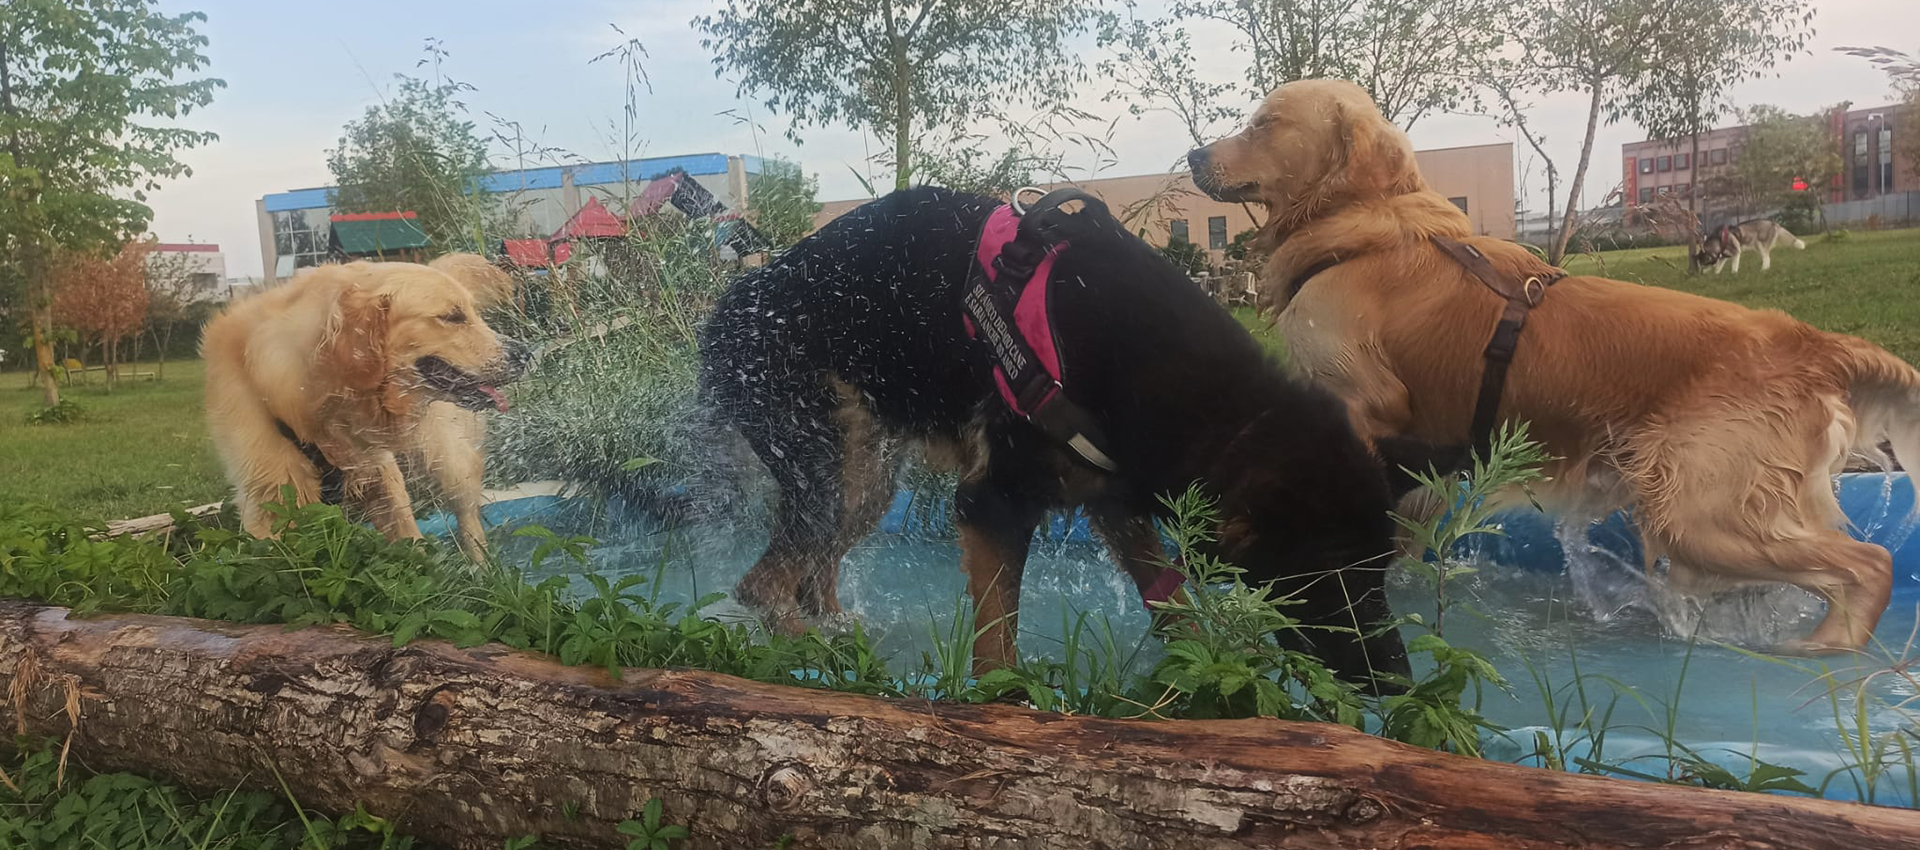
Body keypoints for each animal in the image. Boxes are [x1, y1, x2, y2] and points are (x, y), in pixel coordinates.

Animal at [698, 186, 1420, 690]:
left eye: (1380, 572)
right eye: (1330, 577)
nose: (1397, 681)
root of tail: (727, 306)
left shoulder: (1114, 502)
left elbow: (1172, 605)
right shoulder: (993, 504)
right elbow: (997, 647)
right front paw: (1007, 709)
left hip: (864, 476)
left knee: (808, 568)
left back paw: (842, 633)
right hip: (815, 454)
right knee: (762, 586)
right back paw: (813, 657)